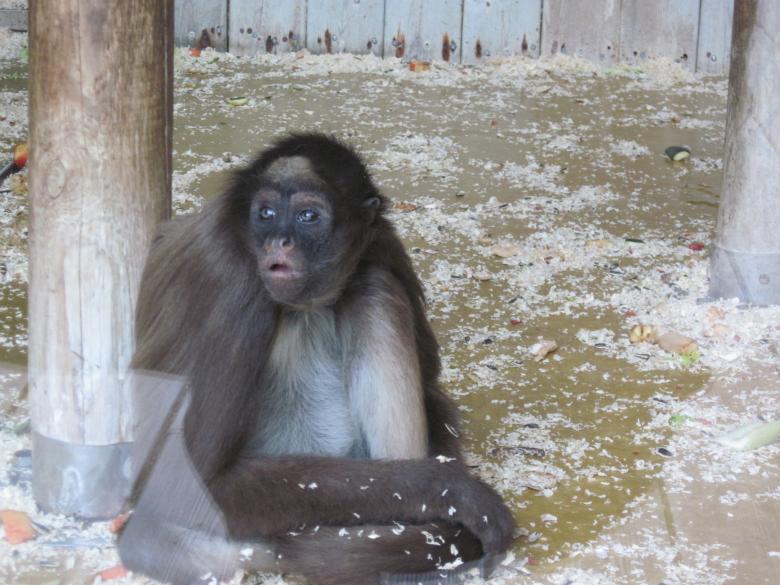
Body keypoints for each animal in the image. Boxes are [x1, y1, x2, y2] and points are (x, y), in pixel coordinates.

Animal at [117, 133, 516, 585]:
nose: (279, 242)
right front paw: (450, 488)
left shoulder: (380, 240)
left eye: (308, 216)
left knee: (373, 285)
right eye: (267, 214)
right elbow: (185, 481)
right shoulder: (231, 280)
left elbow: (433, 389)